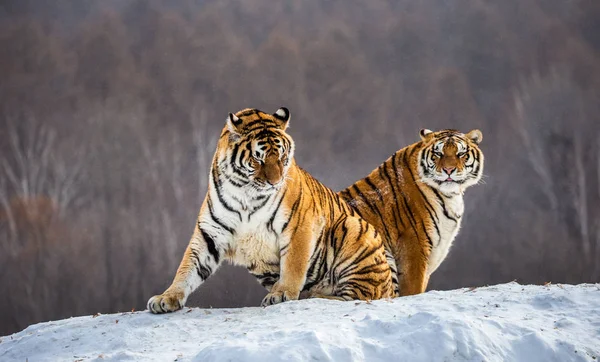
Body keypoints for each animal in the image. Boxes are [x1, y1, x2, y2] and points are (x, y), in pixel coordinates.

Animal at [148, 107, 396, 314]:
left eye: (282, 156)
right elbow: (188, 268)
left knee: (362, 295)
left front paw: (282, 293)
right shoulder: (210, 233)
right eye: (258, 158)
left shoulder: (298, 226)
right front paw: (166, 298)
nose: (275, 182)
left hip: (353, 229)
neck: (245, 194)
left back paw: (317, 295)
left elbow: (293, 264)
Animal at [340, 130, 486, 296]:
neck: (449, 196)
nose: (448, 170)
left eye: (461, 153)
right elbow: (413, 288)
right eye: (438, 153)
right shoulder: (414, 244)